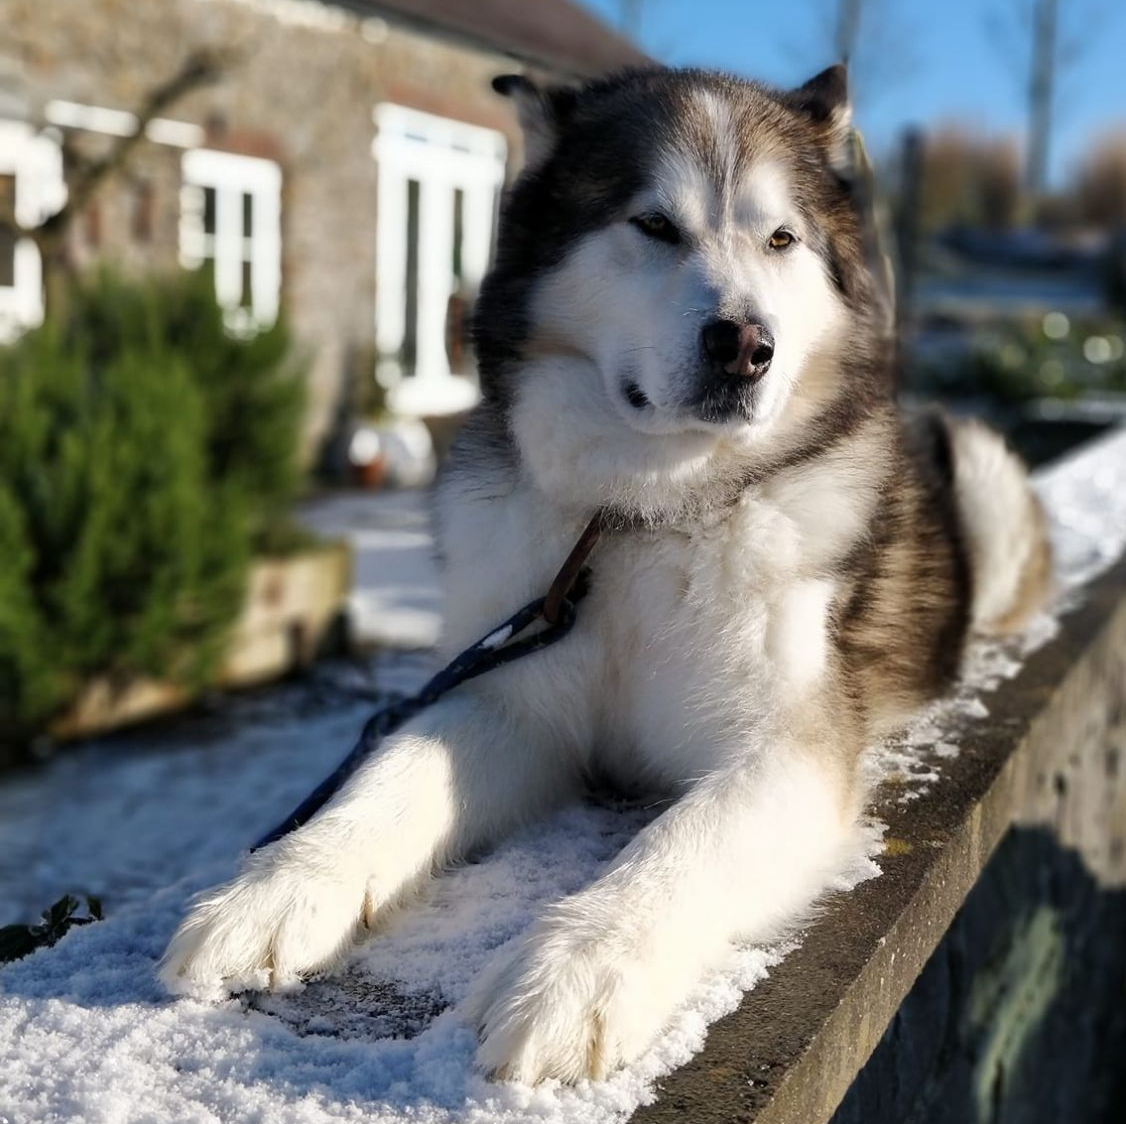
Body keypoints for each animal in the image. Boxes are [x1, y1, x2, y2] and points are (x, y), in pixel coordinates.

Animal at [163, 65, 1049, 1085]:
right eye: (654, 224)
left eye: (782, 239)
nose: (746, 344)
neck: (643, 518)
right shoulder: (515, 695)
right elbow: (390, 776)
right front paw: (278, 888)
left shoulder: (784, 743)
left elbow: (686, 840)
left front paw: (581, 966)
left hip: (983, 485)